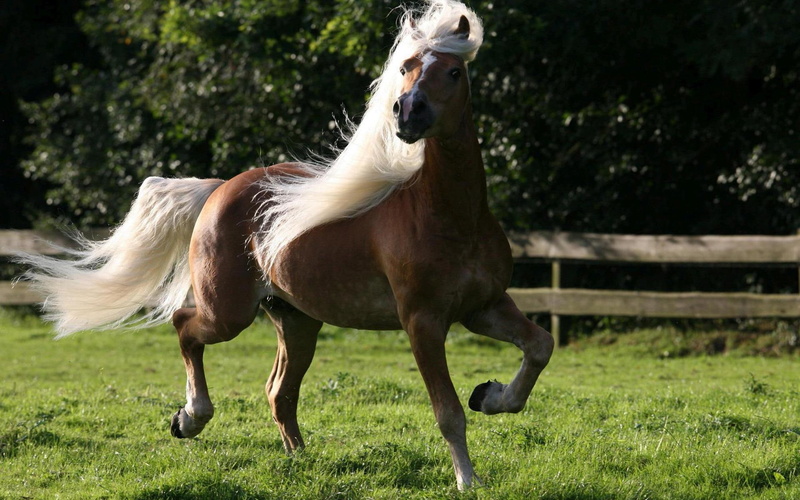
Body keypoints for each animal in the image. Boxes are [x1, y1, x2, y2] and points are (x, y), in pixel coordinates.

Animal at [19, 0, 553, 490]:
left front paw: (490, 395)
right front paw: (468, 480)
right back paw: (190, 418)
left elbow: (540, 347)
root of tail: (220, 188)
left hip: (296, 321)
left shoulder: (483, 306)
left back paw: (300, 462)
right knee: (185, 326)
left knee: (279, 392)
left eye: (455, 71)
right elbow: (447, 412)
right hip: (229, 313)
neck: (449, 216)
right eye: (406, 68)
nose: (407, 112)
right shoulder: (422, 322)